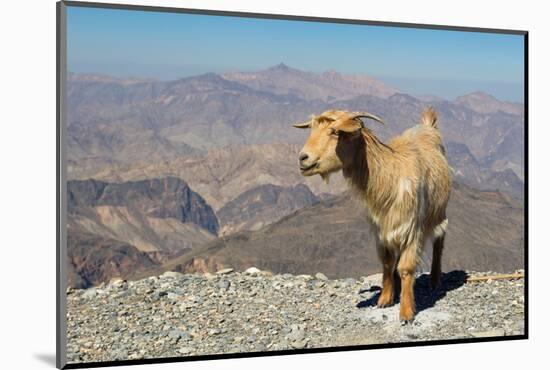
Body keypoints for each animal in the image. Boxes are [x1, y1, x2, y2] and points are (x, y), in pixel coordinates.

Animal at [298, 108, 452, 322]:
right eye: (311, 129)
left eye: (336, 132)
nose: (303, 158)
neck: (389, 176)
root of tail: (428, 126)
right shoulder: (381, 229)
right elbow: (387, 262)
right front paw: (385, 299)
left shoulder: (412, 228)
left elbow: (406, 268)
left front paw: (406, 312)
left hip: (439, 212)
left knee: (439, 240)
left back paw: (435, 280)